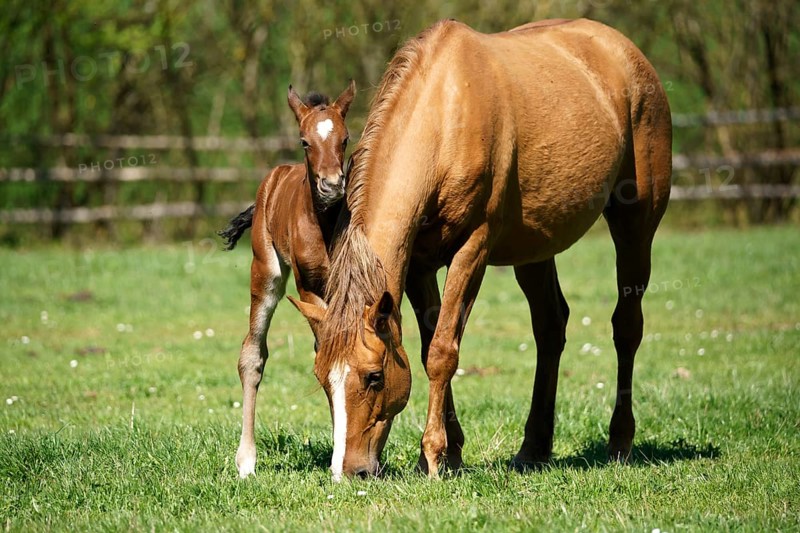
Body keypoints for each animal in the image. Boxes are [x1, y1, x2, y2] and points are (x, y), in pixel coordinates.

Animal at [218, 80, 355, 478]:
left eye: (345, 138)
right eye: (304, 141)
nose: (331, 185)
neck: (324, 224)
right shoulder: (308, 288)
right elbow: (325, 353)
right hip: (265, 272)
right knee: (252, 354)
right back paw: (246, 461)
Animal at [290, 18, 672, 481]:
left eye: (374, 376)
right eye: (323, 379)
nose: (351, 471)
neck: (444, 115)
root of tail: (628, 54)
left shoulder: (473, 250)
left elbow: (442, 352)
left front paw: (433, 455)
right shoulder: (418, 266)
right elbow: (427, 346)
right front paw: (451, 452)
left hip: (636, 226)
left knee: (626, 327)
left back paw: (619, 442)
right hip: (534, 248)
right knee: (550, 327)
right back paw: (534, 448)